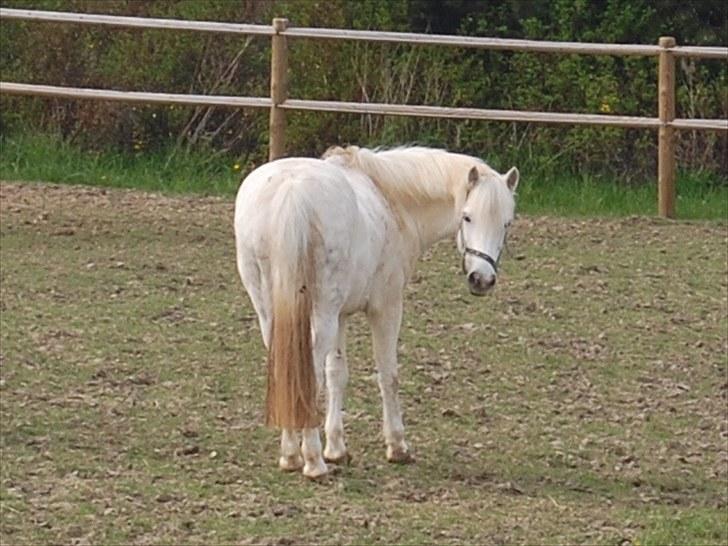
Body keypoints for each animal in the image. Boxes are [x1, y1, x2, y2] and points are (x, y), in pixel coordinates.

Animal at [233, 146, 516, 476]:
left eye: (507, 223)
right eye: (467, 217)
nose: (482, 280)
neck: (390, 200)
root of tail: (290, 192)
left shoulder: (341, 316)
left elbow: (336, 375)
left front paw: (336, 448)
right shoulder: (386, 309)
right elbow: (388, 375)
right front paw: (397, 446)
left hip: (273, 313)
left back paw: (291, 455)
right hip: (321, 315)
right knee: (308, 375)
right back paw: (313, 462)